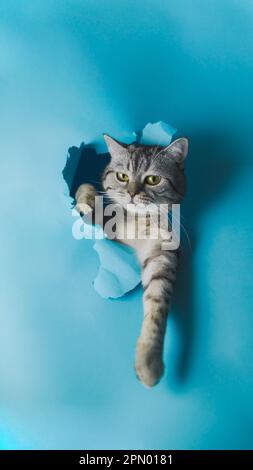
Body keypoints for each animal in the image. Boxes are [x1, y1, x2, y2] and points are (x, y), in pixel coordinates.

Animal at [75, 134, 188, 388]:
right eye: (122, 176)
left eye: (153, 179)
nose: (133, 194)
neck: (137, 222)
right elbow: (87, 193)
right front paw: (88, 199)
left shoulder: (162, 255)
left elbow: (156, 307)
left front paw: (148, 361)